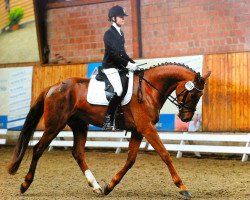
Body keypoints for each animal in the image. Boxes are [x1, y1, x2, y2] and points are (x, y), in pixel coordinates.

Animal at [7, 63, 211, 198]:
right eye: (194, 94)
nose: (186, 118)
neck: (148, 88)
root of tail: (53, 86)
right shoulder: (147, 127)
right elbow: (165, 155)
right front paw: (182, 187)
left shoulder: (138, 130)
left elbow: (130, 160)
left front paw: (110, 186)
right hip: (54, 125)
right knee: (38, 149)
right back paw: (25, 184)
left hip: (79, 125)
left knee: (78, 153)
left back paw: (96, 186)